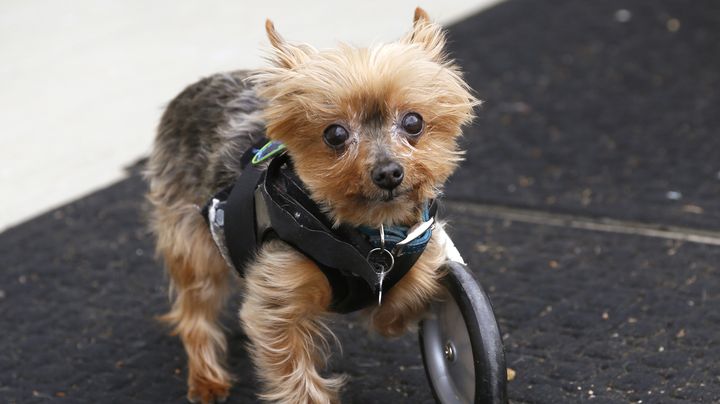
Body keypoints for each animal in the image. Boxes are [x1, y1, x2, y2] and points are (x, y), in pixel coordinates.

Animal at [145, 7, 478, 402]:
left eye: (414, 122)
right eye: (335, 134)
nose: (388, 173)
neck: (368, 234)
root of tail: (192, 89)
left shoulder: (416, 263)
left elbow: (401, 301)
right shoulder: (278, 300)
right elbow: (295, 372)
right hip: (190, 240)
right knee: (195, 306)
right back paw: (206, 379)